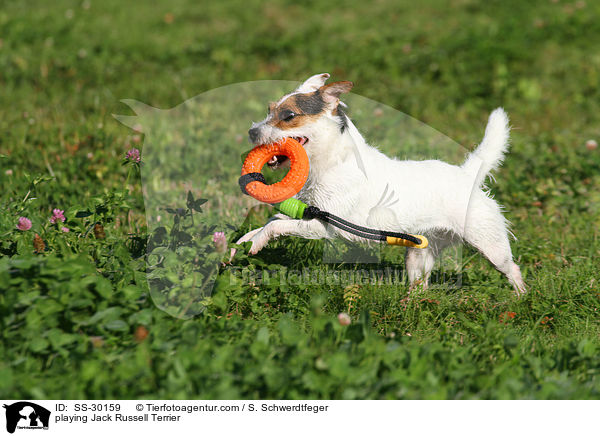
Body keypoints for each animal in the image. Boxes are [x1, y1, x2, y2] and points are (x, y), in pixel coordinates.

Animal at [237, 73, 528, 294]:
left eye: (288, 115)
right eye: (269, 110)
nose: (251, 131)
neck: (331, 163)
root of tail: (468, 174)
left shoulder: (324, 227)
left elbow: (277, 226)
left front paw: (257, 241)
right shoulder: (309, 214)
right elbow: (274, 220)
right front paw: (247, 239)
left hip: (490, 244)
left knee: (511, 268)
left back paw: (519, 298)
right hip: (419, 252)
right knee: (420, 282)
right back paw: (411, 303)